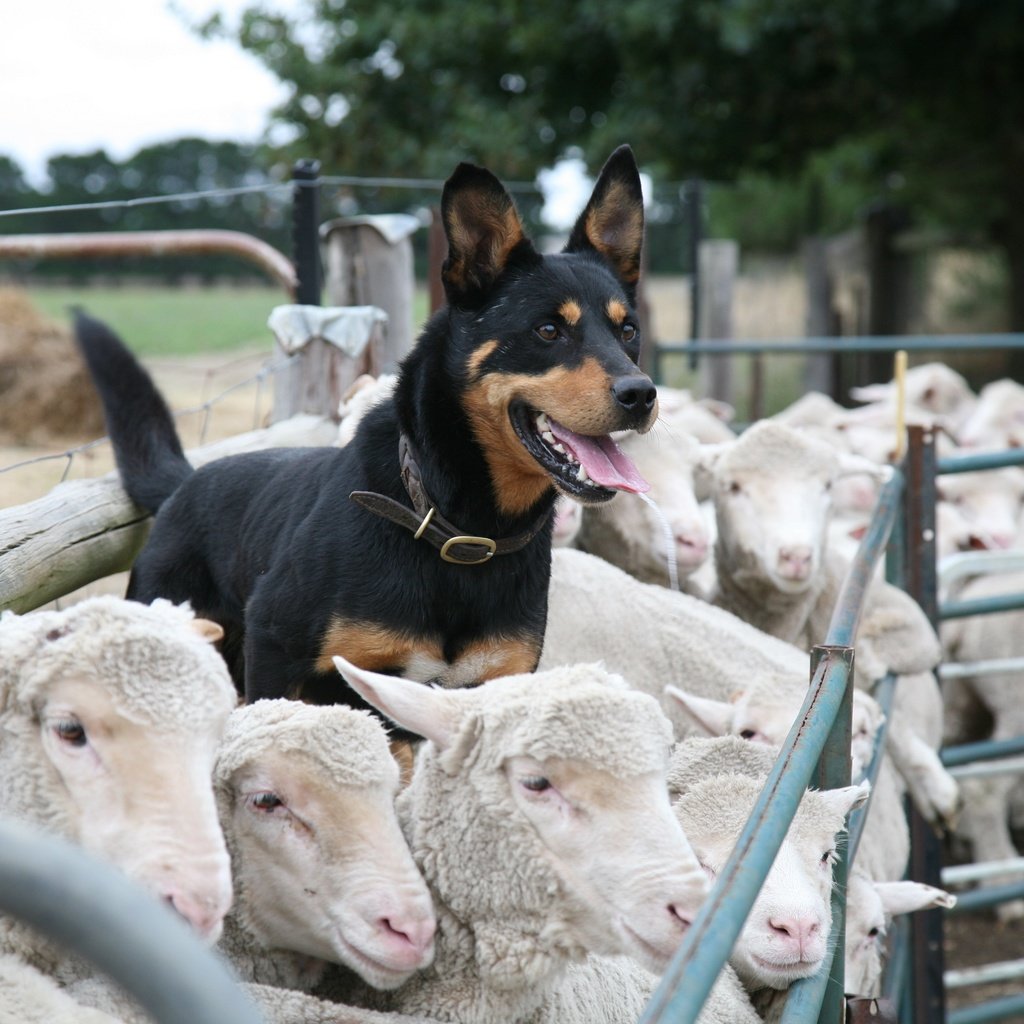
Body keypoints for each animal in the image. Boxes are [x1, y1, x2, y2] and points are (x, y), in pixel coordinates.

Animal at [77, 148, 655, 716]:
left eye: (628, 331)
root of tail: (184, 485)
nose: (641, 394)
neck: (460, 528)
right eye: (549, 330)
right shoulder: (275, 650)